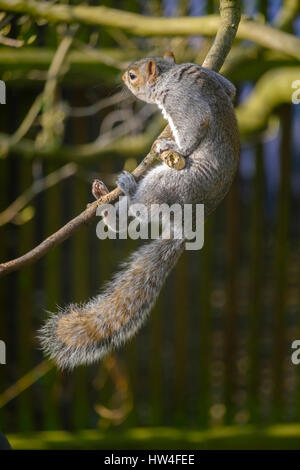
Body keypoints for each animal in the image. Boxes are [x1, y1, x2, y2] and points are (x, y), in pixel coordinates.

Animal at [39, 50, 239, 368]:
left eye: (133, 76)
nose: (122, 77)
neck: (170, 74)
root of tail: (189, 225)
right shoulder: (217, 81)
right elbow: (230, 89)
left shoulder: (183, 101)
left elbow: (195, 127)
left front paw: (171, 145)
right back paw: (104, 197)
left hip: (165, 183)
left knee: (141, 206)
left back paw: (122, 193)